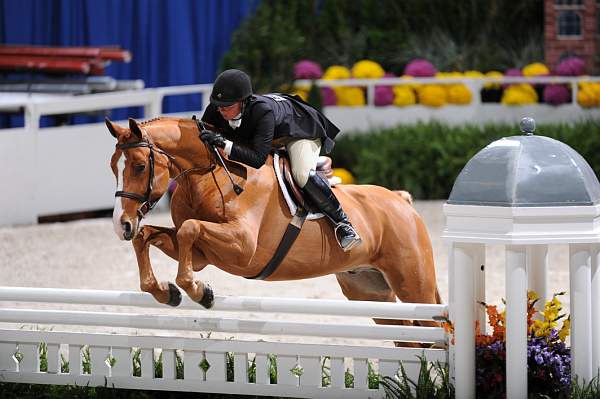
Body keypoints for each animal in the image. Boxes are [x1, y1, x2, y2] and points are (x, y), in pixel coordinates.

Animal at [104, 117, 440, 330]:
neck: (211, 175)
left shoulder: (242, 248)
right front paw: (166, 292)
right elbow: (149, 236)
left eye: (139, 166)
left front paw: (199, 292)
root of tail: (402, 201)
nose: (121, 225)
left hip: (414, 287)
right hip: (370, 293)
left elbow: (190, 228)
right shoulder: (201, 255)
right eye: (113, 167)